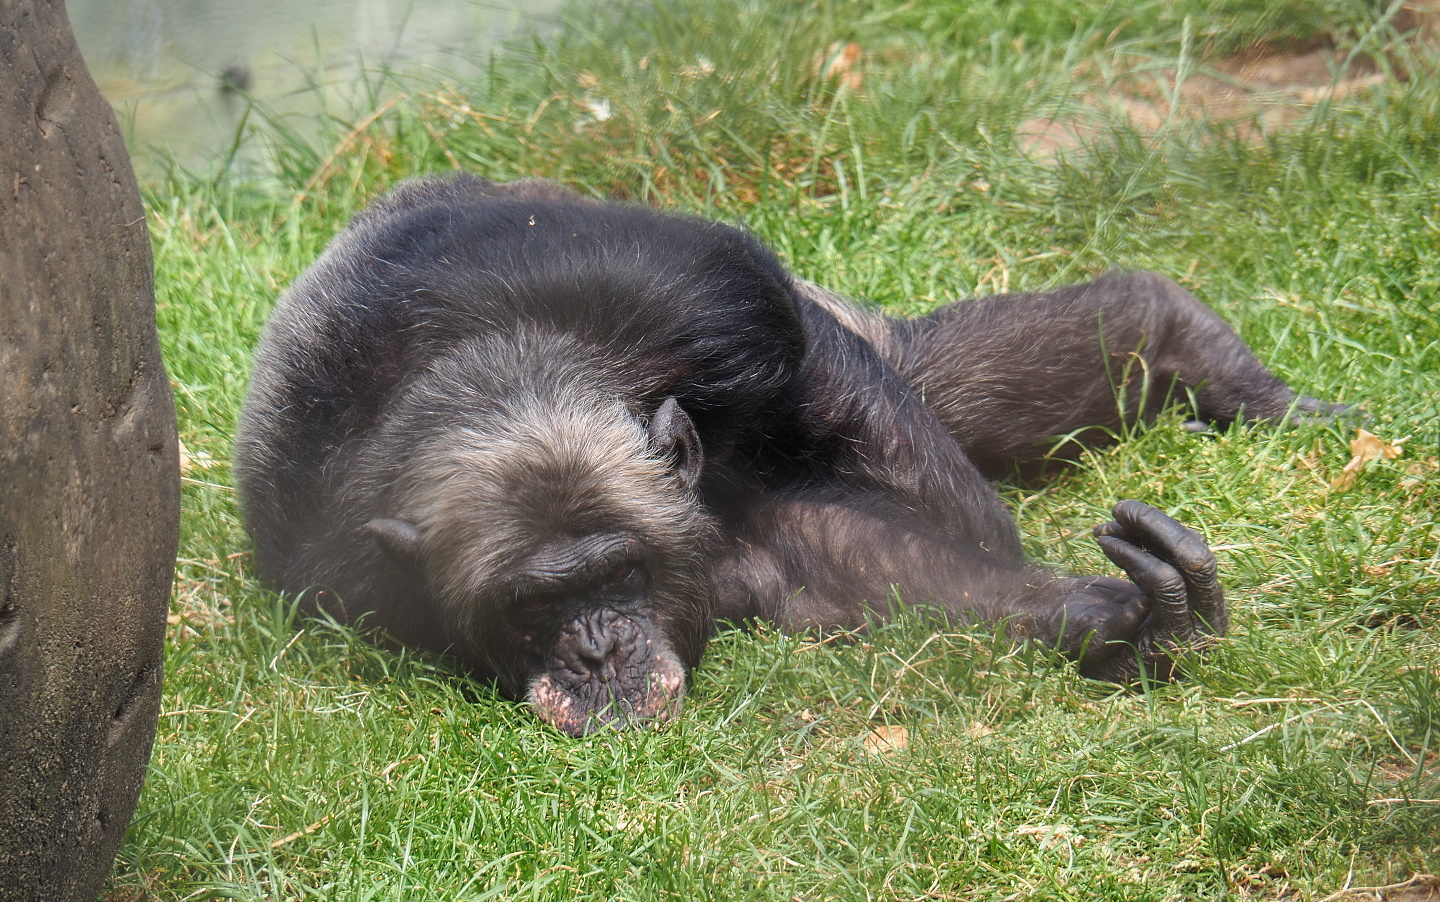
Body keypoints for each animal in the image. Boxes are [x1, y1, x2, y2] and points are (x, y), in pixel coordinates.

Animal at [234, 174, 1346, 736]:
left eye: (619, 572)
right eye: (534, 602)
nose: (596, 651)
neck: (497, 361)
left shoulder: (719, 304)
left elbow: (918, 491)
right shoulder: (333, 565)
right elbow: (871, 575)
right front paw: (1133, 624)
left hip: (861, 322)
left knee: (969, 368)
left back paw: (1199, 349)